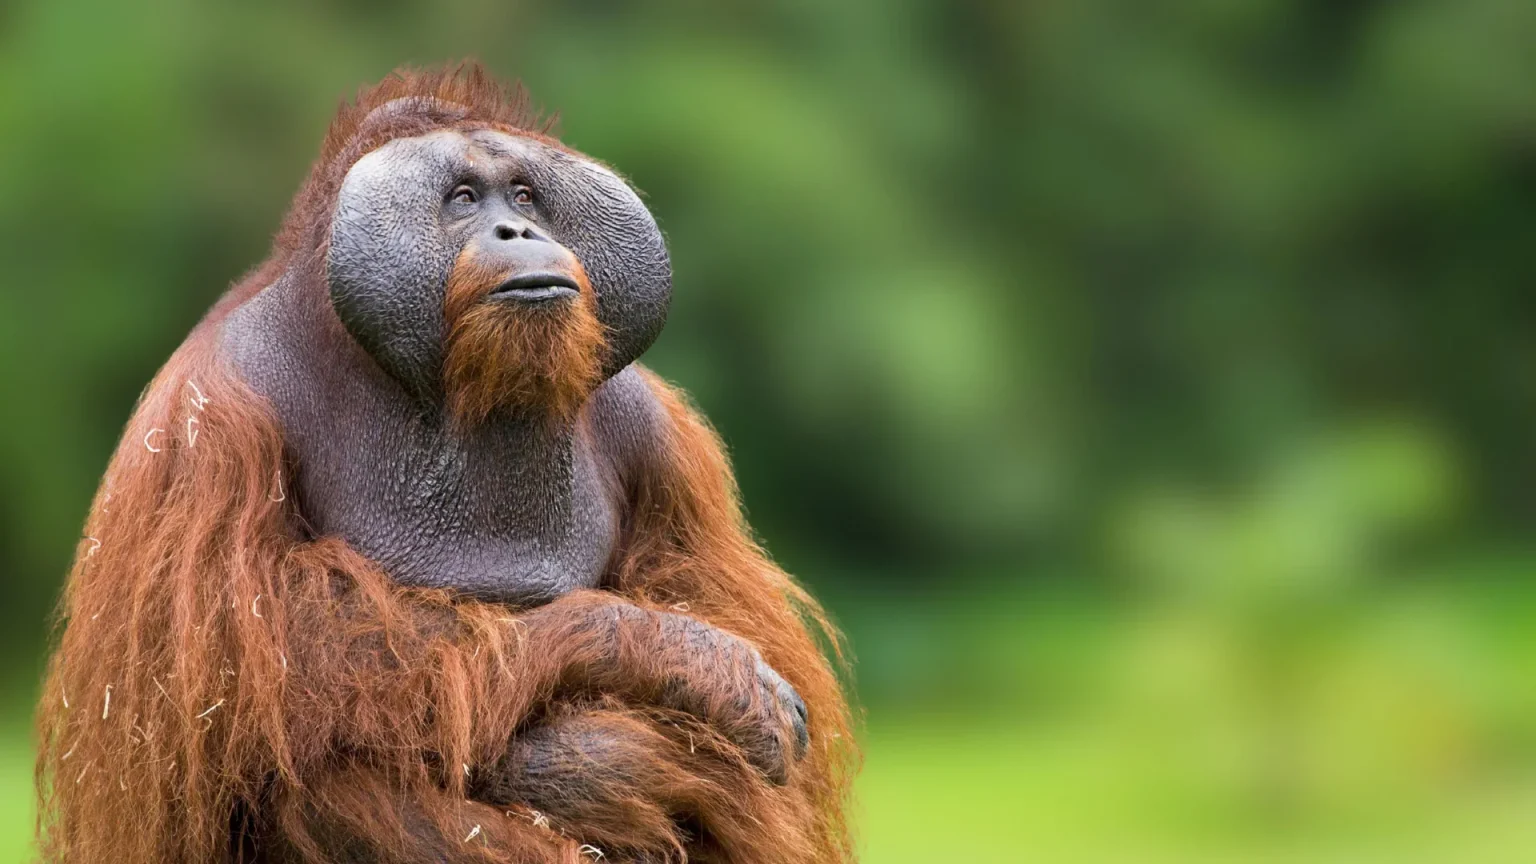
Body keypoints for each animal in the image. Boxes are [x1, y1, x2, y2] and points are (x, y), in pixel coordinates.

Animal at [35, 64, 857, 864]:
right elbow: (256, 667)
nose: (517, 228)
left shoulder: (659, 437)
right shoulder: (206, 420)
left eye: (523, 194)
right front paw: (692, 666)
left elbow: (710, 602)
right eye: (463, 199)